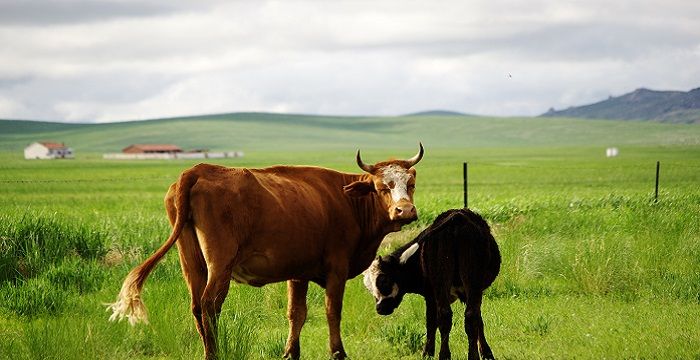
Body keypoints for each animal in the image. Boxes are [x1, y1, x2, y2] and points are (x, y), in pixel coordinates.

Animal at [107, 144, 424, 360]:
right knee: (210, 305)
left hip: (191, 262)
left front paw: (291, 352)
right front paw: (338, 353)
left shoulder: (299, 272)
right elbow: (332, 311)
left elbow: (296, 313)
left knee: (196, 306)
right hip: (220, 263)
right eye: (382, 187)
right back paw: (215, 354)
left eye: (411, 184)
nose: (405, 210)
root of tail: (198, 170)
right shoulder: (337, 267)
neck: (347, 201)